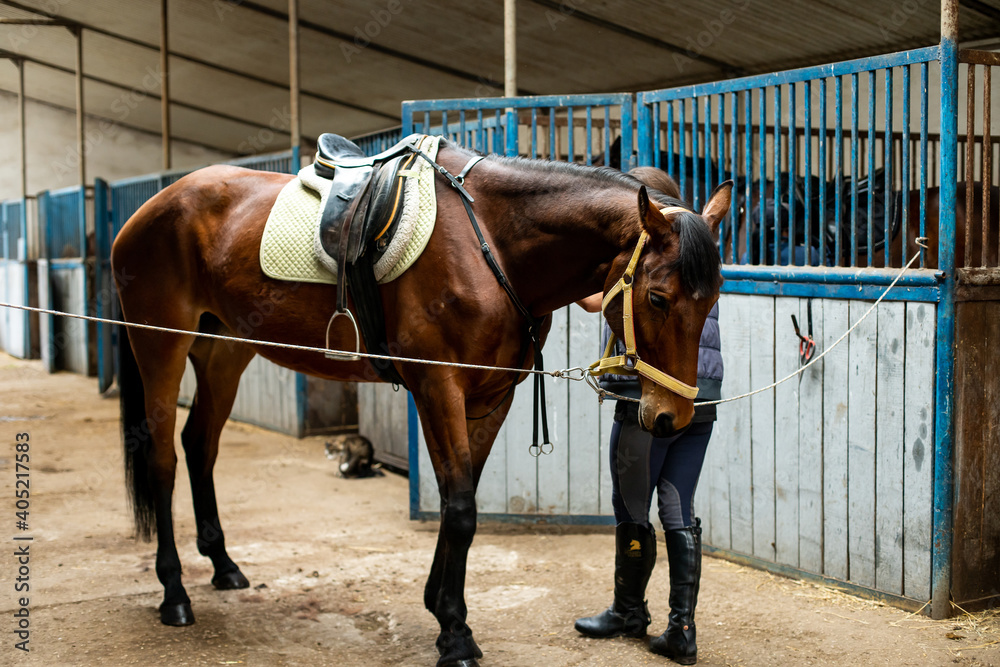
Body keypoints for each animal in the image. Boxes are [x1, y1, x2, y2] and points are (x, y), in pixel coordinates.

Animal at [111, 139, 732, 667]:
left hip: (224, 350)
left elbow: (463, 499)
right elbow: (459, 510)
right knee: (163, 459)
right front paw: (455, 635)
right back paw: (174, 594)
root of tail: (149, 210)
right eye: (658, 297)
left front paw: (441, 606)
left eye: (712, 301)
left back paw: (223, 567)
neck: (494, 245)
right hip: (160, 346)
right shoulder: (439, 388)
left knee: (200, 446)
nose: (673, 417)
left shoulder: (491, 396)